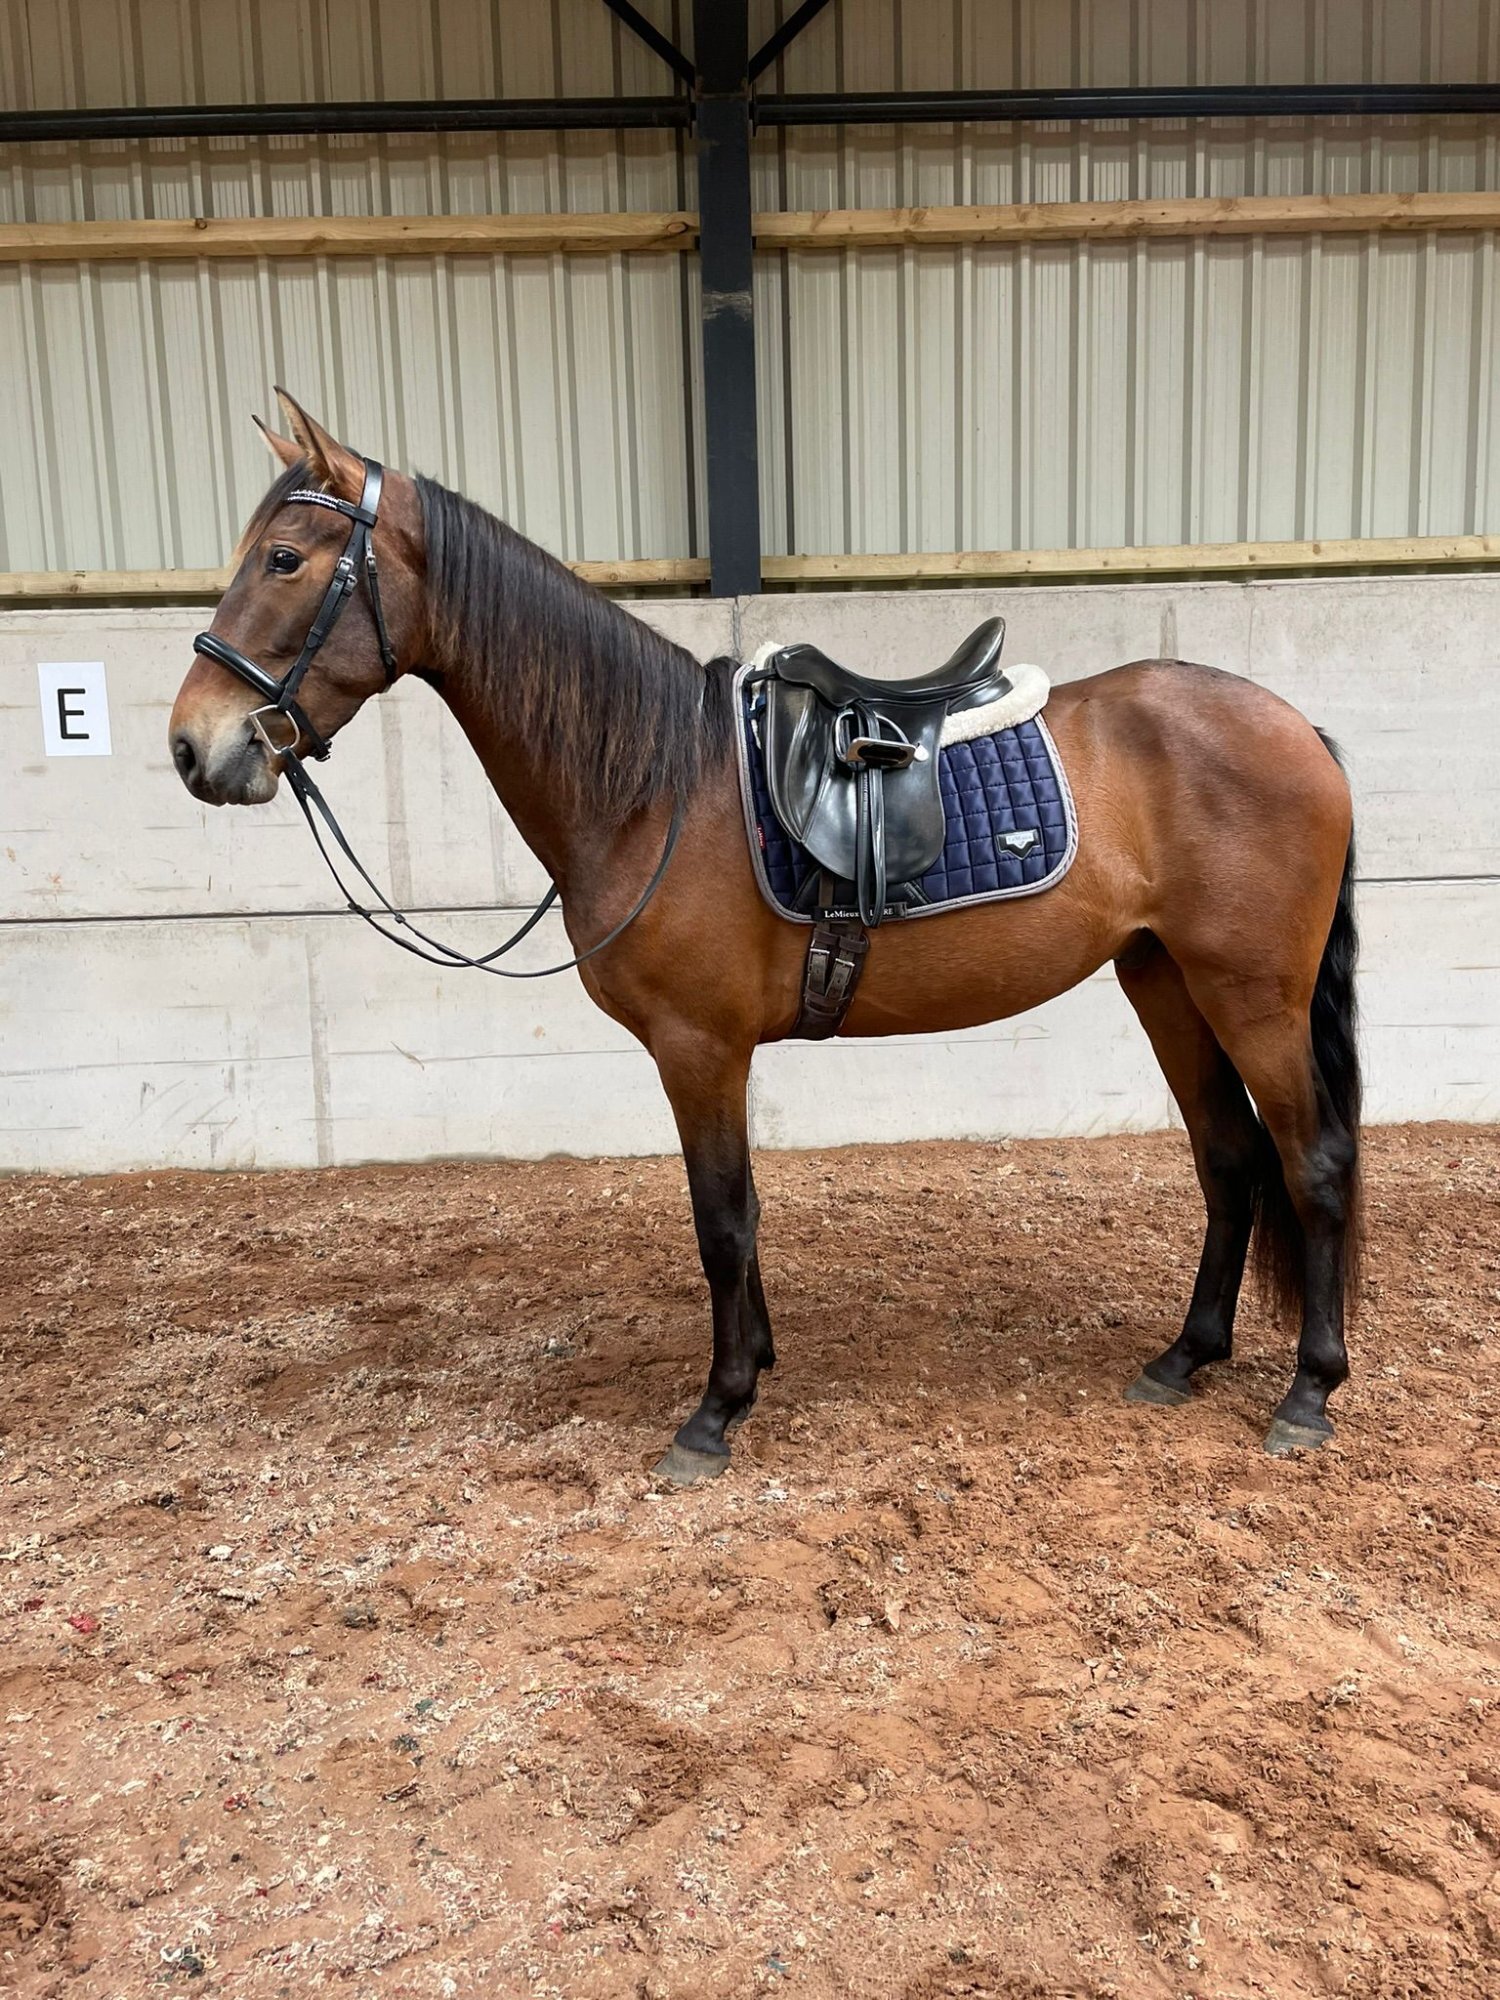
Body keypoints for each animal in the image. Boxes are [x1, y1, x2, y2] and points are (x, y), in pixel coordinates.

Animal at [168, 391, 1361, 1485]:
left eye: (284, 557)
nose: (193, 746)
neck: (653, 785)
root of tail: (1298, 727)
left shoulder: (698, 1048)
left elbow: (722, 1221)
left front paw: (718, 1406)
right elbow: (739, 1215)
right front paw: (758, 1361)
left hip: (1250, 993)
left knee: (1313, 1161)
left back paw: (1309, 1390)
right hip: (1166, 980)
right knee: (1230, 1156)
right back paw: (1185, 1357)